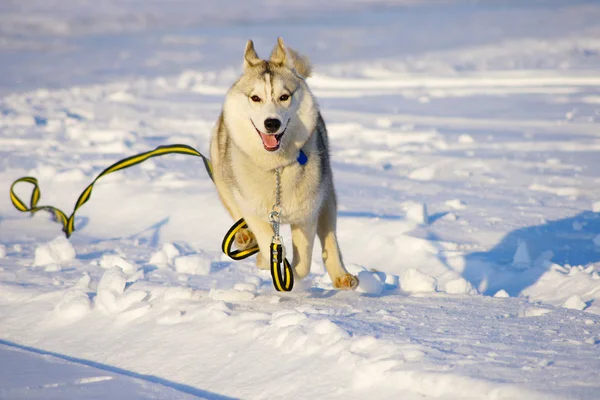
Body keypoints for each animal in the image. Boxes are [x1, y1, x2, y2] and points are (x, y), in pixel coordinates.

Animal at [210, 37, 356, 290]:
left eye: (284, 97)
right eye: (255, 98)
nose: (271, 123)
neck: (276, 168)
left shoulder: (306, 213)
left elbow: (304, 261)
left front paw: (290, 274)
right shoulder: (252, 208)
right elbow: (264, 235)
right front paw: (265, 258)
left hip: (326, 196)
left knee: (329, 238)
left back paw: (341, 275)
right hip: (221, 174)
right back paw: (246, 239)